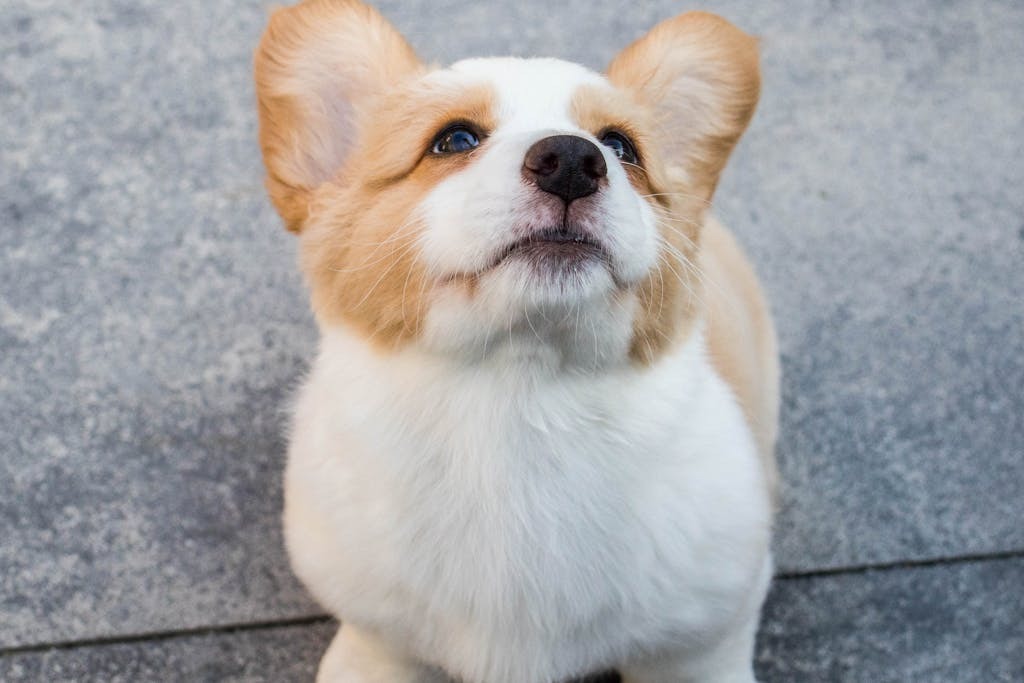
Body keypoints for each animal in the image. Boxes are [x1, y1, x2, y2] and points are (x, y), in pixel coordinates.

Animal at [255, 1, 779, 681]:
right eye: (453, 139)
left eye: (622, 147)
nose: (573, 161)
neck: (518, 395)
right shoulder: (382, 638)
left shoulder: (698, 644)